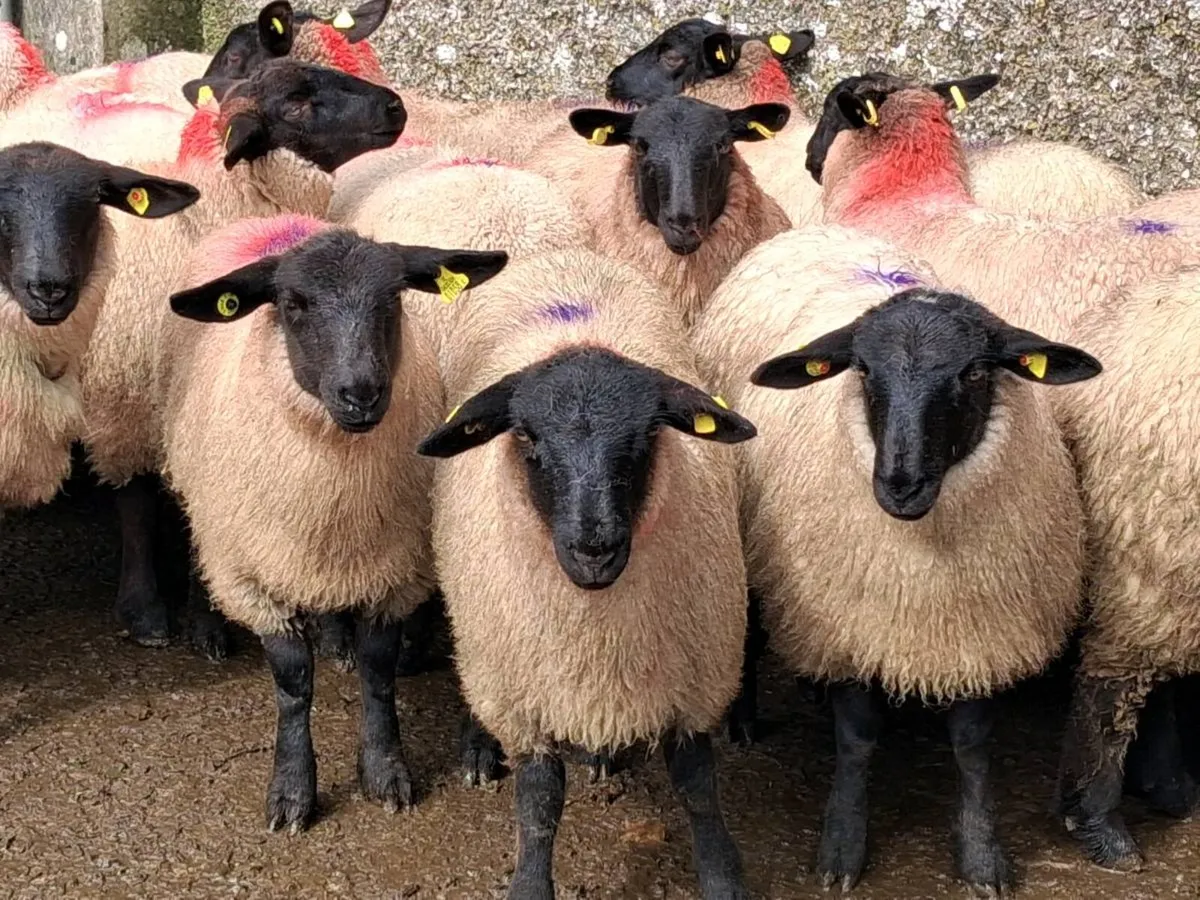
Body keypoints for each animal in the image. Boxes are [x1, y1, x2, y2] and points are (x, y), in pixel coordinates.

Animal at [73, 59, 406, 651]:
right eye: (296, 103)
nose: (396, 105)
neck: (204, 221)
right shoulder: (127, 400)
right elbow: (140, 503)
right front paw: (157, 611)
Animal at [160, 216, 507, 831]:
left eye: (393, 297)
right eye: (292, 303)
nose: (361, 393)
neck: (334, 493)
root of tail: (278, 222)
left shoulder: (398, 570)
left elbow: (377, 671)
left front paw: (385, 772)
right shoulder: (253, 579)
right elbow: (293, 681)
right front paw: (292, 790)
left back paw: (335, 638)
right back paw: (210, 629)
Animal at [416, 247, 756, 900]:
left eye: (648, 435)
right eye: (526, 436)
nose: (594, 548)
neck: (596, 635)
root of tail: (563, 254)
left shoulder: (695, 679)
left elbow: (699, 788)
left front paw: (723, 876)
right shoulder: (526, 699)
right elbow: (539, 803)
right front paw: (529, 884)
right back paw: (478, 749)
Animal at [693, 249, 1102, 891]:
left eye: (975, 373)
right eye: (862, 371)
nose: (899, 484)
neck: (922, 569)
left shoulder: (980, 632)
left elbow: (972, 746)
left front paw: (982, 856)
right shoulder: (852, 625)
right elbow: (858, 739)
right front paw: (842, 847)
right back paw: (744, 719)